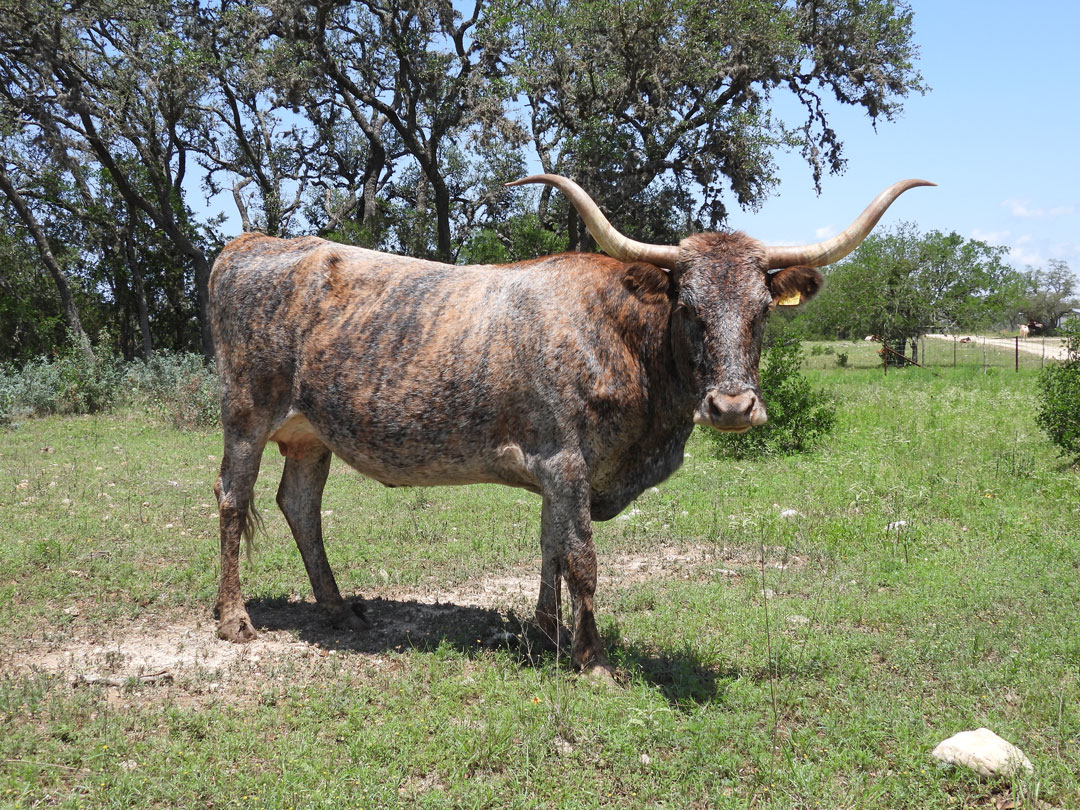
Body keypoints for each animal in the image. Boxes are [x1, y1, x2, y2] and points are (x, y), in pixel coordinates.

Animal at [212, 172, 937, 673]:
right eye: (689, 308)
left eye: (762, 311)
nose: (731, 407)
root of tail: (250, 244)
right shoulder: (565, 459)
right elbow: (582, 557)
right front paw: (591, 659)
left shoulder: (560, 473)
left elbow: (551, 548)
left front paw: (547, 635)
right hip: (246, 415)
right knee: (232, 499)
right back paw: (234, 620)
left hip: (309, 434)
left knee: (299, 504)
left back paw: (337, 608)